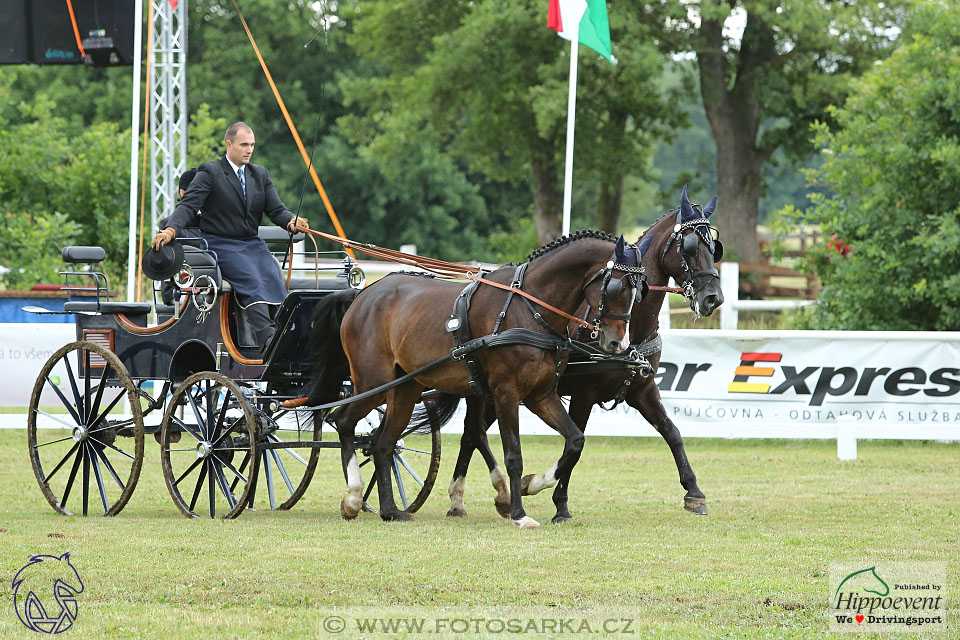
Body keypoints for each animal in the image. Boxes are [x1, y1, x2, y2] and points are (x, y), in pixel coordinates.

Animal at [308, 231, 636, 528]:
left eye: (640, 290)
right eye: (616, 287)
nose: (618, 343)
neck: (529, 309)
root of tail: (362, 295)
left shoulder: (540, 395)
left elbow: (575, 441)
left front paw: (531, 484)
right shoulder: (506, 393)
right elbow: (513, 454)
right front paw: (518, 513)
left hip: (405, 388)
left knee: (382, 444)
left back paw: (391, 510)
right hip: (373, 383)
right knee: (344, 422)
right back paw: (353, 498)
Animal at [446, 185, 724, 520]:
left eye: (714, 247)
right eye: (690, 246)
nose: (713, 298)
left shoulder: (642, 389)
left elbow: (672, 432)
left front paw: (694, 492)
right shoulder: (583, 393)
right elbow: (575, 444)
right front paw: (560, 503)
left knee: (471, 434)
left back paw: (467, 498)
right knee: (473, 432)